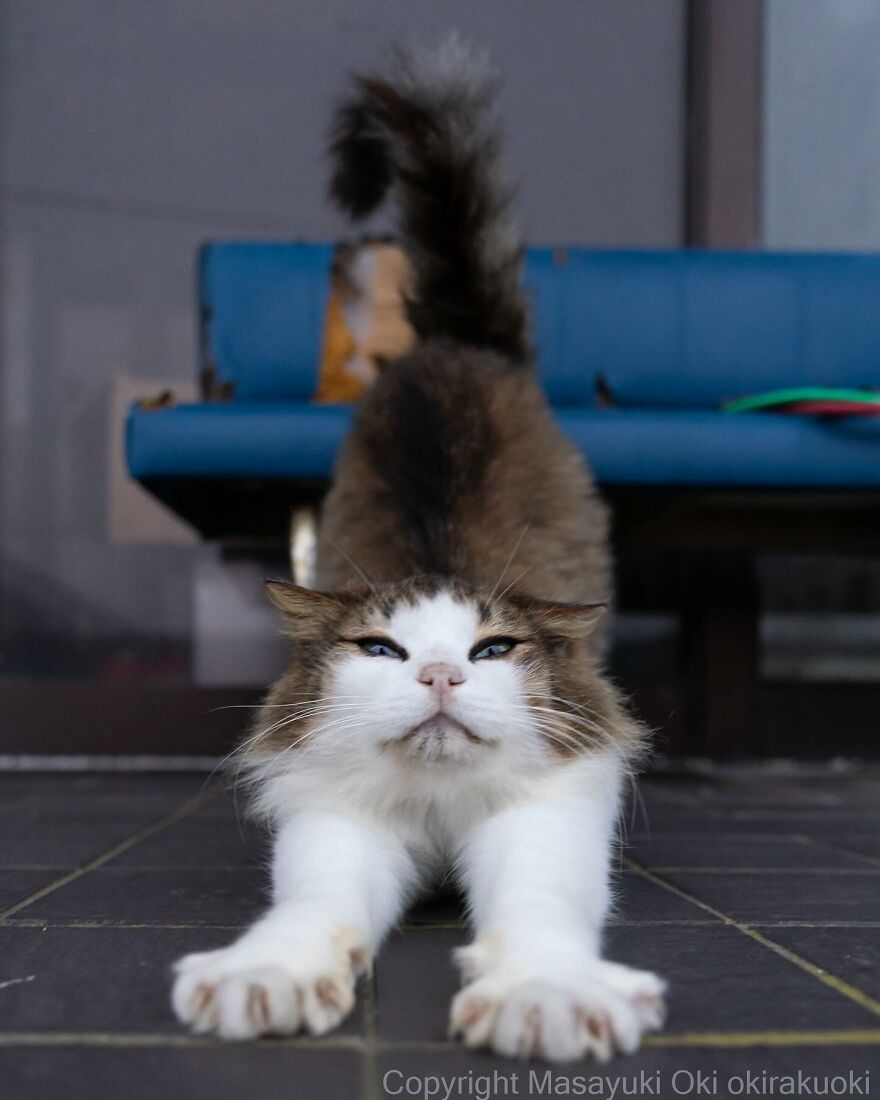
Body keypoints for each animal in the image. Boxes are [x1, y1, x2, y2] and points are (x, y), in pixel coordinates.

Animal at [173, 38, 668, 1060]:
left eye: (492, 649)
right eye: (382, 650)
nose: (440, 676)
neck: (437, 818)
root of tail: (453, 344)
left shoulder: (547, 817)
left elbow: (539, 917)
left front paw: (547, 997)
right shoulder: (335, 823)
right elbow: (308, 913)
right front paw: (263, 978)